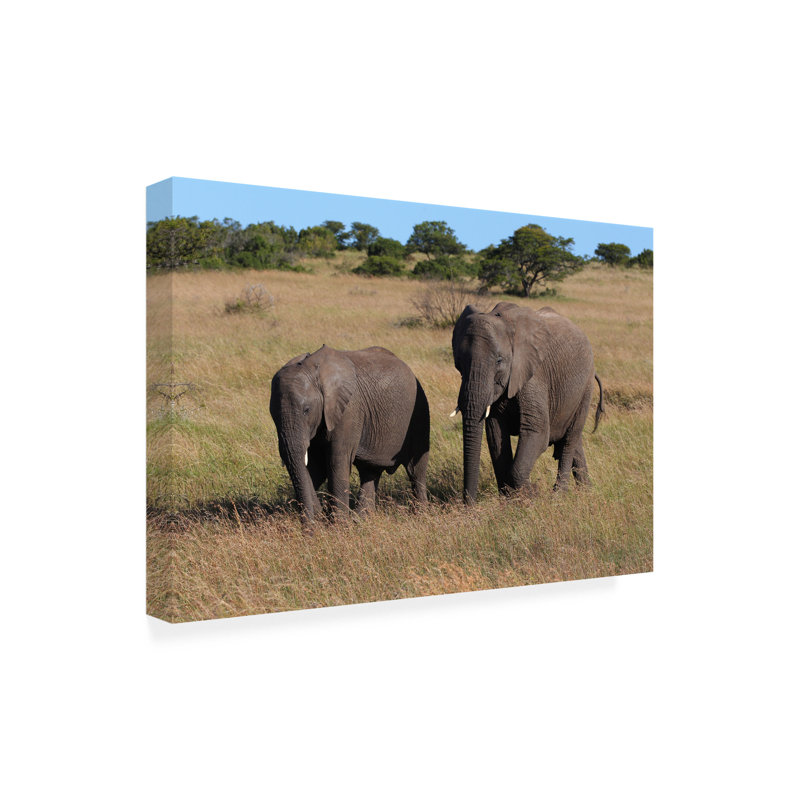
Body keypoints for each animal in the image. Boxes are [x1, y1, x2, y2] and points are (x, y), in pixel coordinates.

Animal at [270, 344, 430, 521]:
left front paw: (338, 524)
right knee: (370, 471)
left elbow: (336, 462)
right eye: (273, 415)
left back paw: (420, 515)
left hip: (419, 412)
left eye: (306, 410)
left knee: (415, 469)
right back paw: (361, 520)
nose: (319, 515)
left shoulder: (348, 411)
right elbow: (314, 468)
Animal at [451, 302, 604, 504]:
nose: (469, 505)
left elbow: (537, 432)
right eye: (458, 363)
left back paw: (559, 496)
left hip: (585, 388)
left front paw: (530, 496)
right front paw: (510, 500)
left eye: (499, 360)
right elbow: (495, 435)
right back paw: (587, 491)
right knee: (572, 440)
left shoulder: (533, 375)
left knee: (570, 438)